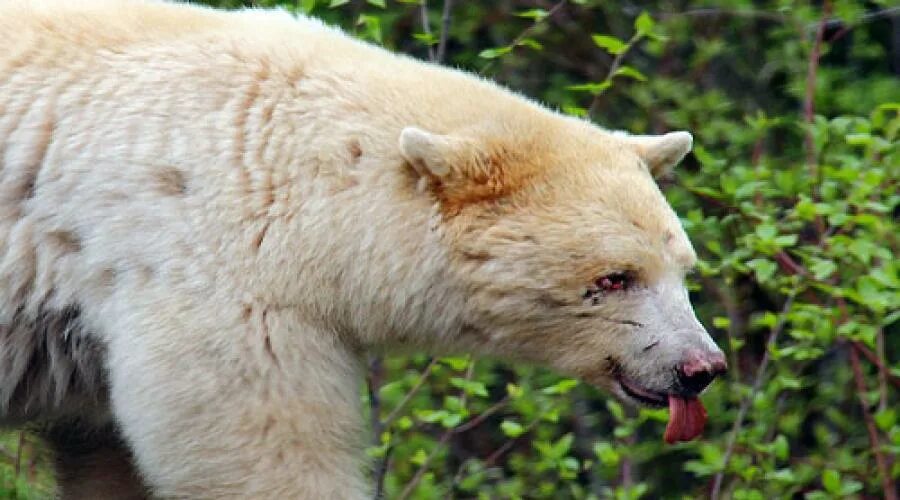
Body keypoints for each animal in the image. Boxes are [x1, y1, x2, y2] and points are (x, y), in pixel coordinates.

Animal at [0, 1, 728, 498]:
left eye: (683, 269)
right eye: (615, 277)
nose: (700, 367)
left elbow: (108, 456)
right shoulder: (205, 274)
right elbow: (255, 445)